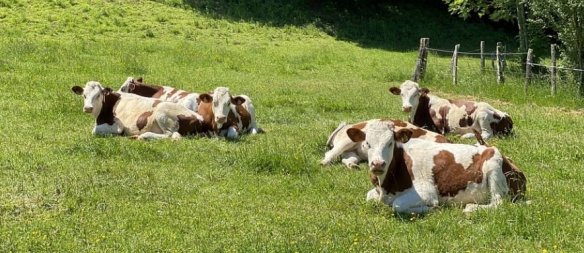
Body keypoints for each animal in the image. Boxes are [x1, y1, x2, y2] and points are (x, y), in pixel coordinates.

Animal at [71, 80, 205, 139]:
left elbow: (95, 130)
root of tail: (199, 117)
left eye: (98, 95)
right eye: (84, 95)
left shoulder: (118, 125)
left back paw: (143, 136)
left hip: (162, 114)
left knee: (171, 135)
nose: (88, 108)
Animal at [320, 119, 448, 170]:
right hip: (346, 141)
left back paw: (353, 165)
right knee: (330, 153)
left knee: (348, 158)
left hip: (353, 151)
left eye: (390, 143)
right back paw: (324, 162)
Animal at [342, 120, 524, 213]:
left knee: (498, 203)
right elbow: (369, 196)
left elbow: (397, 205)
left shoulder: (427, 193)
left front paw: (431, 208)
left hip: (494, 167)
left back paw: (470, 208)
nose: (378, 164)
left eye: (390, 143)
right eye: (367, 143)